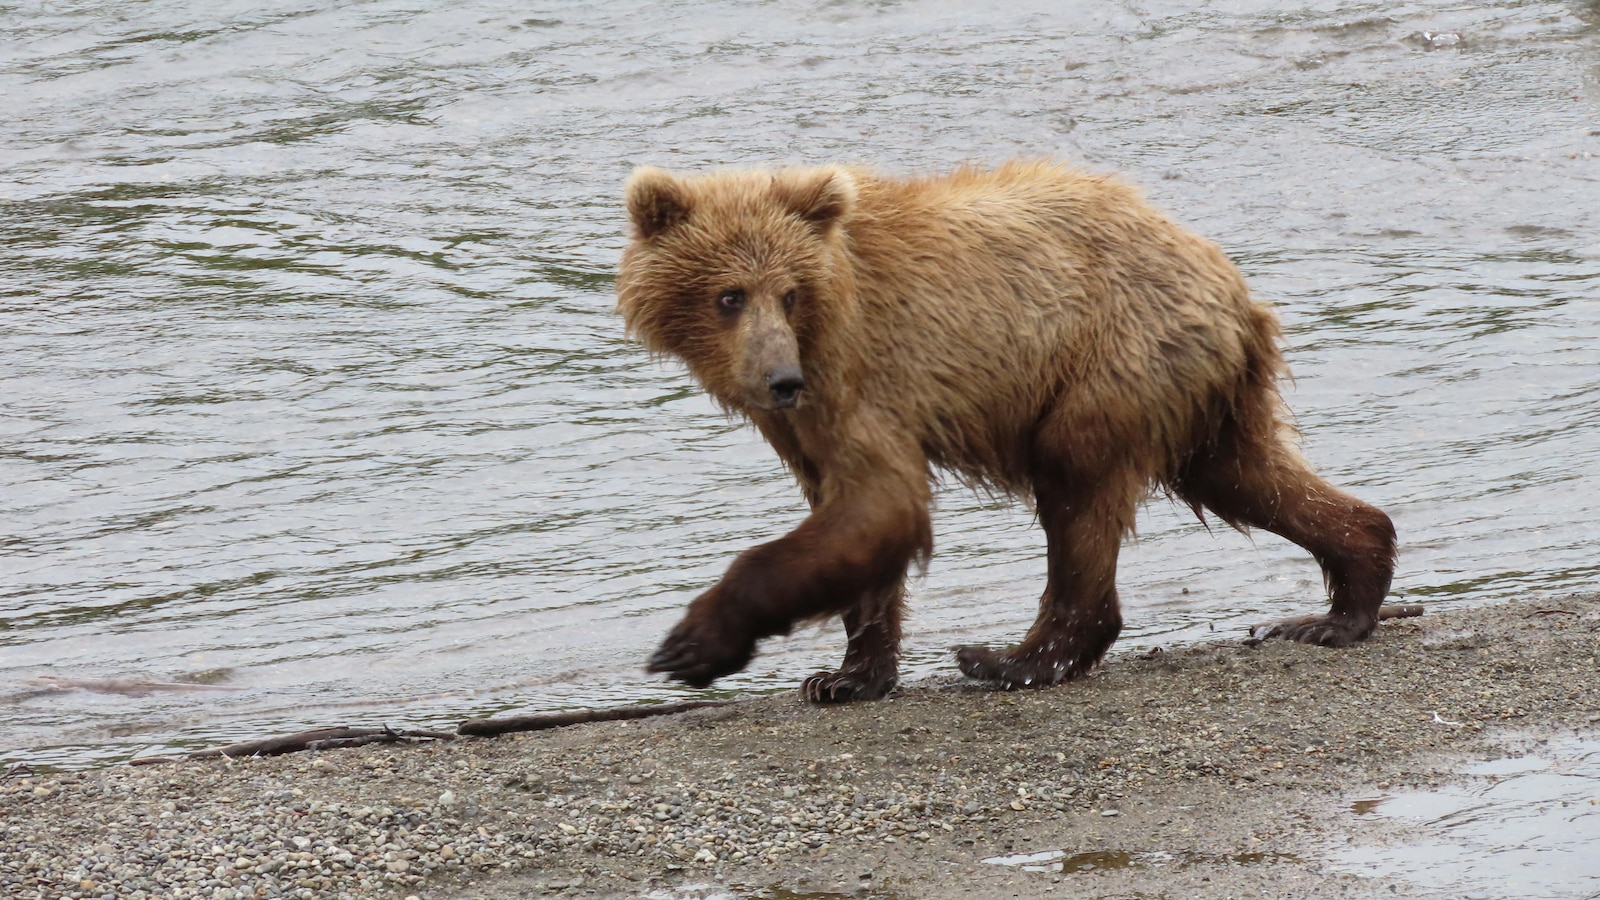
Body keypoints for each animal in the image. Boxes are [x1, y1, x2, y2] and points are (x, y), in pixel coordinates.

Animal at [617, 157, 1395, 698]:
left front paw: (693, 643)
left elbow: (881, 503)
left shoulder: (861, 371)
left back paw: (1012, 659)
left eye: (788, 292)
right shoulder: (808, 418)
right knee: (1247, 475)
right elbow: (851, 519)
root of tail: (1233, 283)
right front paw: (846, 676)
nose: (780, 379)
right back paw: (1338, 604)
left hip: (1110, 361)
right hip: (1200, 390)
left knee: (1076, 484)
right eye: (728, 295)